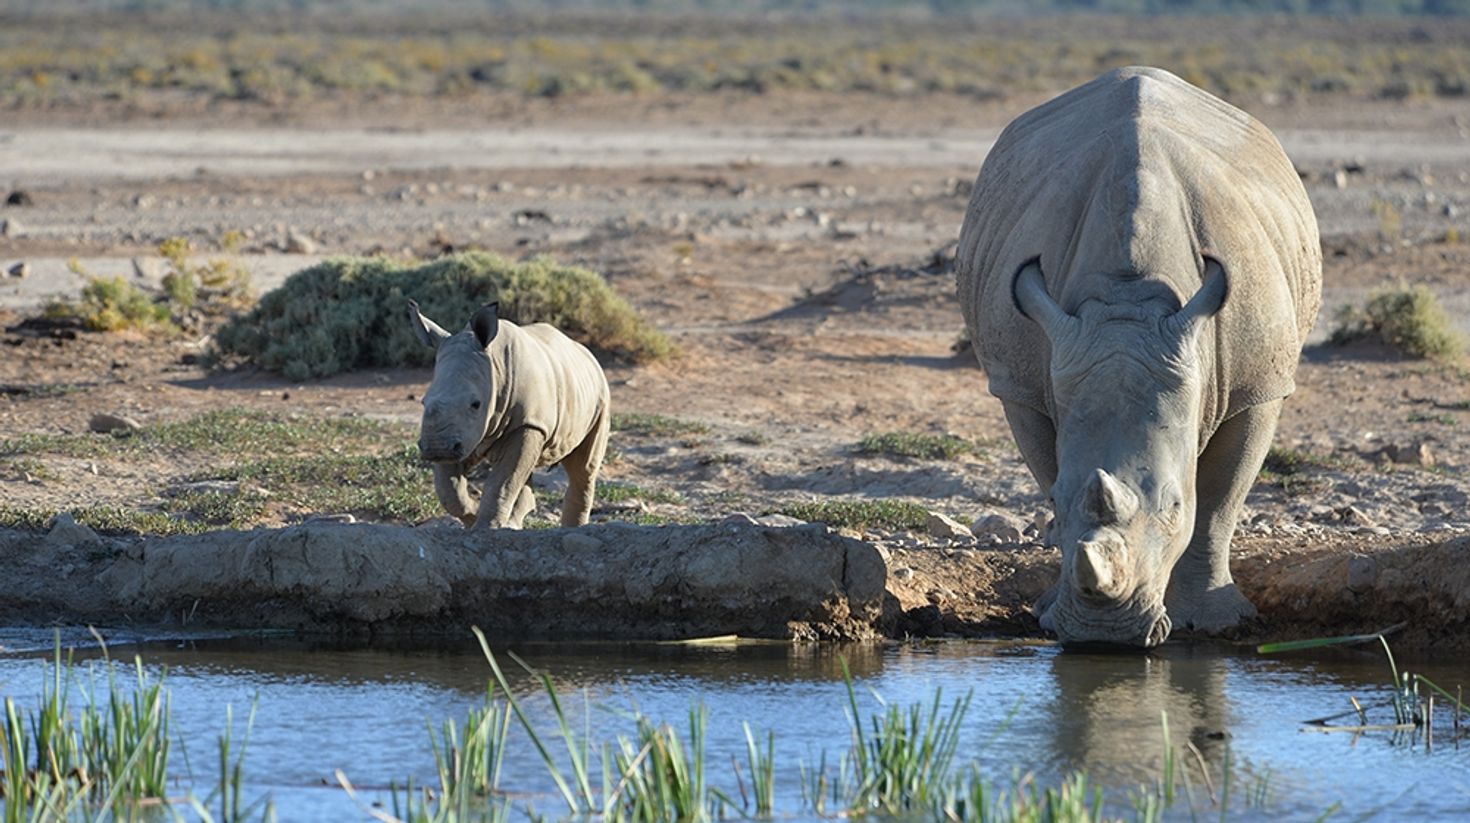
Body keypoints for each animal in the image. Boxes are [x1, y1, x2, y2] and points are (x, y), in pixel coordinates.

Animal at [408, 301, 611, 529]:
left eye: (476, 404)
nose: (436, 448)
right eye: (423, 402)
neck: (495, 365)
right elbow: (449, 490)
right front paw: (473, 516)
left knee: (583, 468)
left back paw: (571, 528)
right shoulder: (461, 433)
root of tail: (587, 354)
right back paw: (514, 523)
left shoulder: (527, 423)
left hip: (601, 396)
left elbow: (502, 483)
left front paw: (484, 527)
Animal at [955, 67, 1321, 646]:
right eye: (1054, 503)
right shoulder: (1023, 382)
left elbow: (1219, 501)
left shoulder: (1258, 386)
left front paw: (1215, 622)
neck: (1127, 302)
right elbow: (1049, 467)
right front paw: (1048, 610)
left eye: (1173, 507)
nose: (1103, 637)